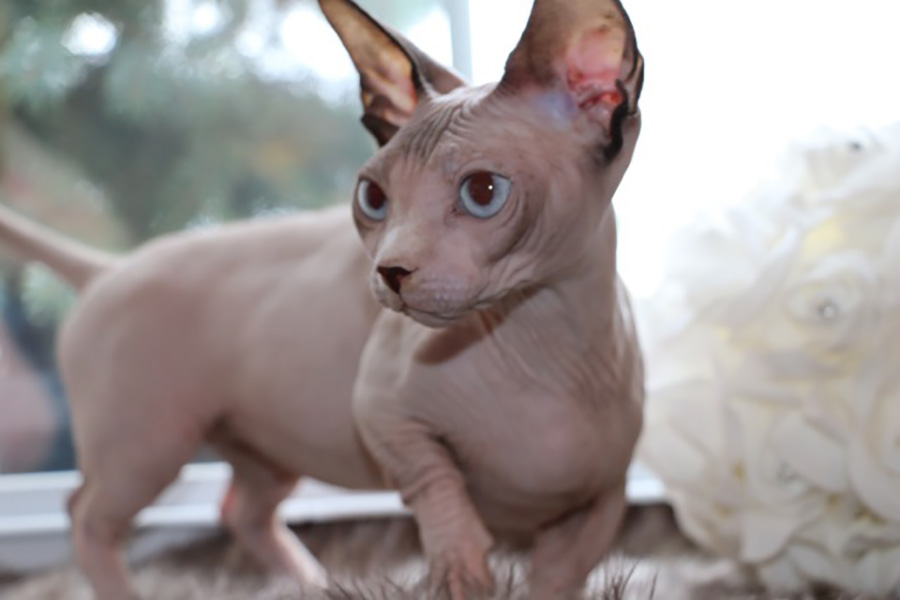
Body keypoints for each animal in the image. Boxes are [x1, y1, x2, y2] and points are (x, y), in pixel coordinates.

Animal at [0, 0, 645, 598]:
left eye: (483, 192)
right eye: (373, 198)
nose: (391, 271)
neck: (546, 335)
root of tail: (110, 266)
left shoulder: (603, 501)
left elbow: (559, 576)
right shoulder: (384, 414)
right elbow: (443, 500)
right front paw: (463, 568)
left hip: (259, 445)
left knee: (240, 511)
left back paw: (315, 583)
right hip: (148, 445)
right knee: (86, 516)